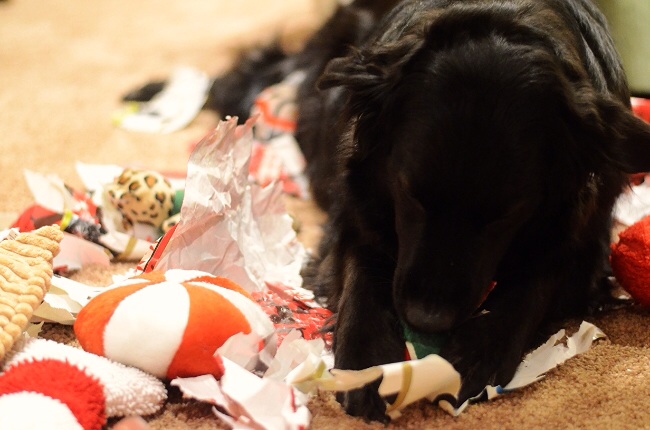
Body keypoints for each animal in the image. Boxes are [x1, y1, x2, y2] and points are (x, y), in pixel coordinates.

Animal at [125, 0, 648, 424]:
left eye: (506, 213)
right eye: (411, 193)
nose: (426, 320)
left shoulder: (580, 243)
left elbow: (529, 292)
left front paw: (474, 353)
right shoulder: (356, 214)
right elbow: (362, 278)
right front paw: (368, 362)